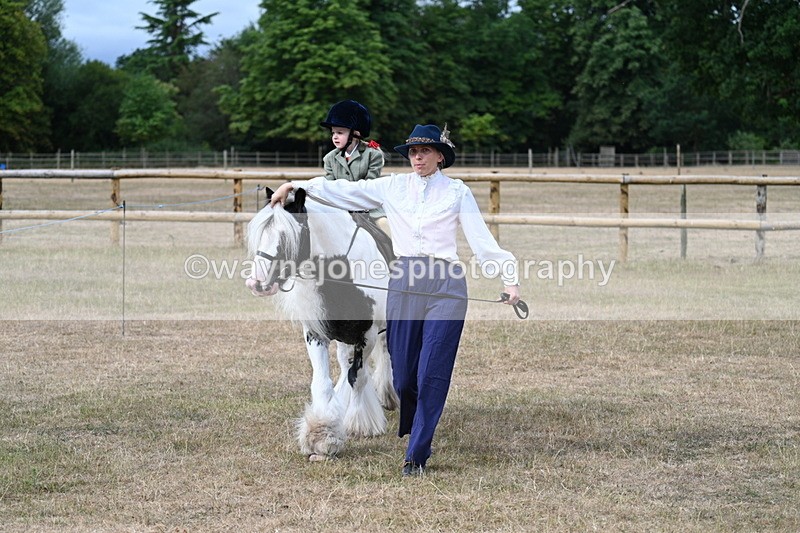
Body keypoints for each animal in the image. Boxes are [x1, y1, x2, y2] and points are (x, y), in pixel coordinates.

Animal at [245, 188, 398, 460]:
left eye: (286, 237)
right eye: (262, 234)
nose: (257, 283)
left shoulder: (367, 335)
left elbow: (357, 377)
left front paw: (353, 425)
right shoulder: (316, 334)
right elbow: (323, 383)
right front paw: (321, 432)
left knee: (383, 352)